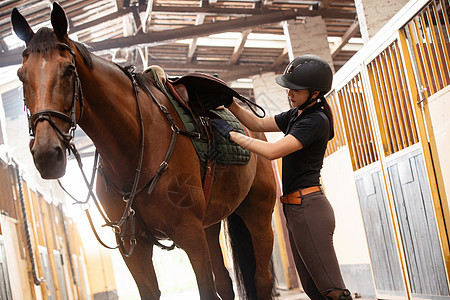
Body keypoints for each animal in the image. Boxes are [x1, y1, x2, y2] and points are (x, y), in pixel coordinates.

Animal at [10, 2, 276, 300]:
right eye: (21, 75)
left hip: (257, 213)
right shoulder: (132, 245)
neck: (136, 149)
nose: (47, 154)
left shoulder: (190, 233)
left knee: (262, 279)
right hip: (210, 226)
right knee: (225, 283)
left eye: (68, 69)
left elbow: (207, 289)